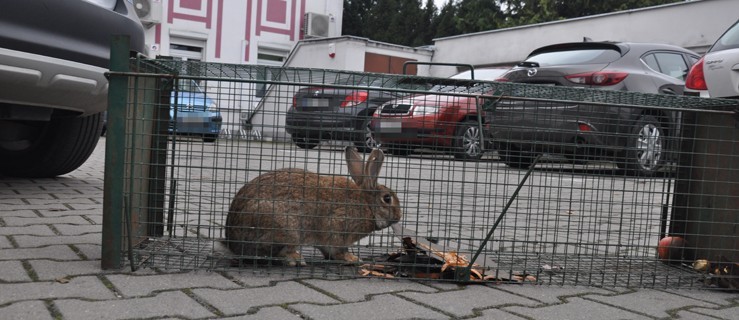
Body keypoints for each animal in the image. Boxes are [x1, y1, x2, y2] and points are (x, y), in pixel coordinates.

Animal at [225, 146, 402, 266]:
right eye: (387, 198)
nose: (399, 217)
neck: (367, 204)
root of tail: (233, 244)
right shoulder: (337, 229)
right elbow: (338, 249)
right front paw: (352, 258)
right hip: (287, 230)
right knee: (275, 253)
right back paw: (296, 259)